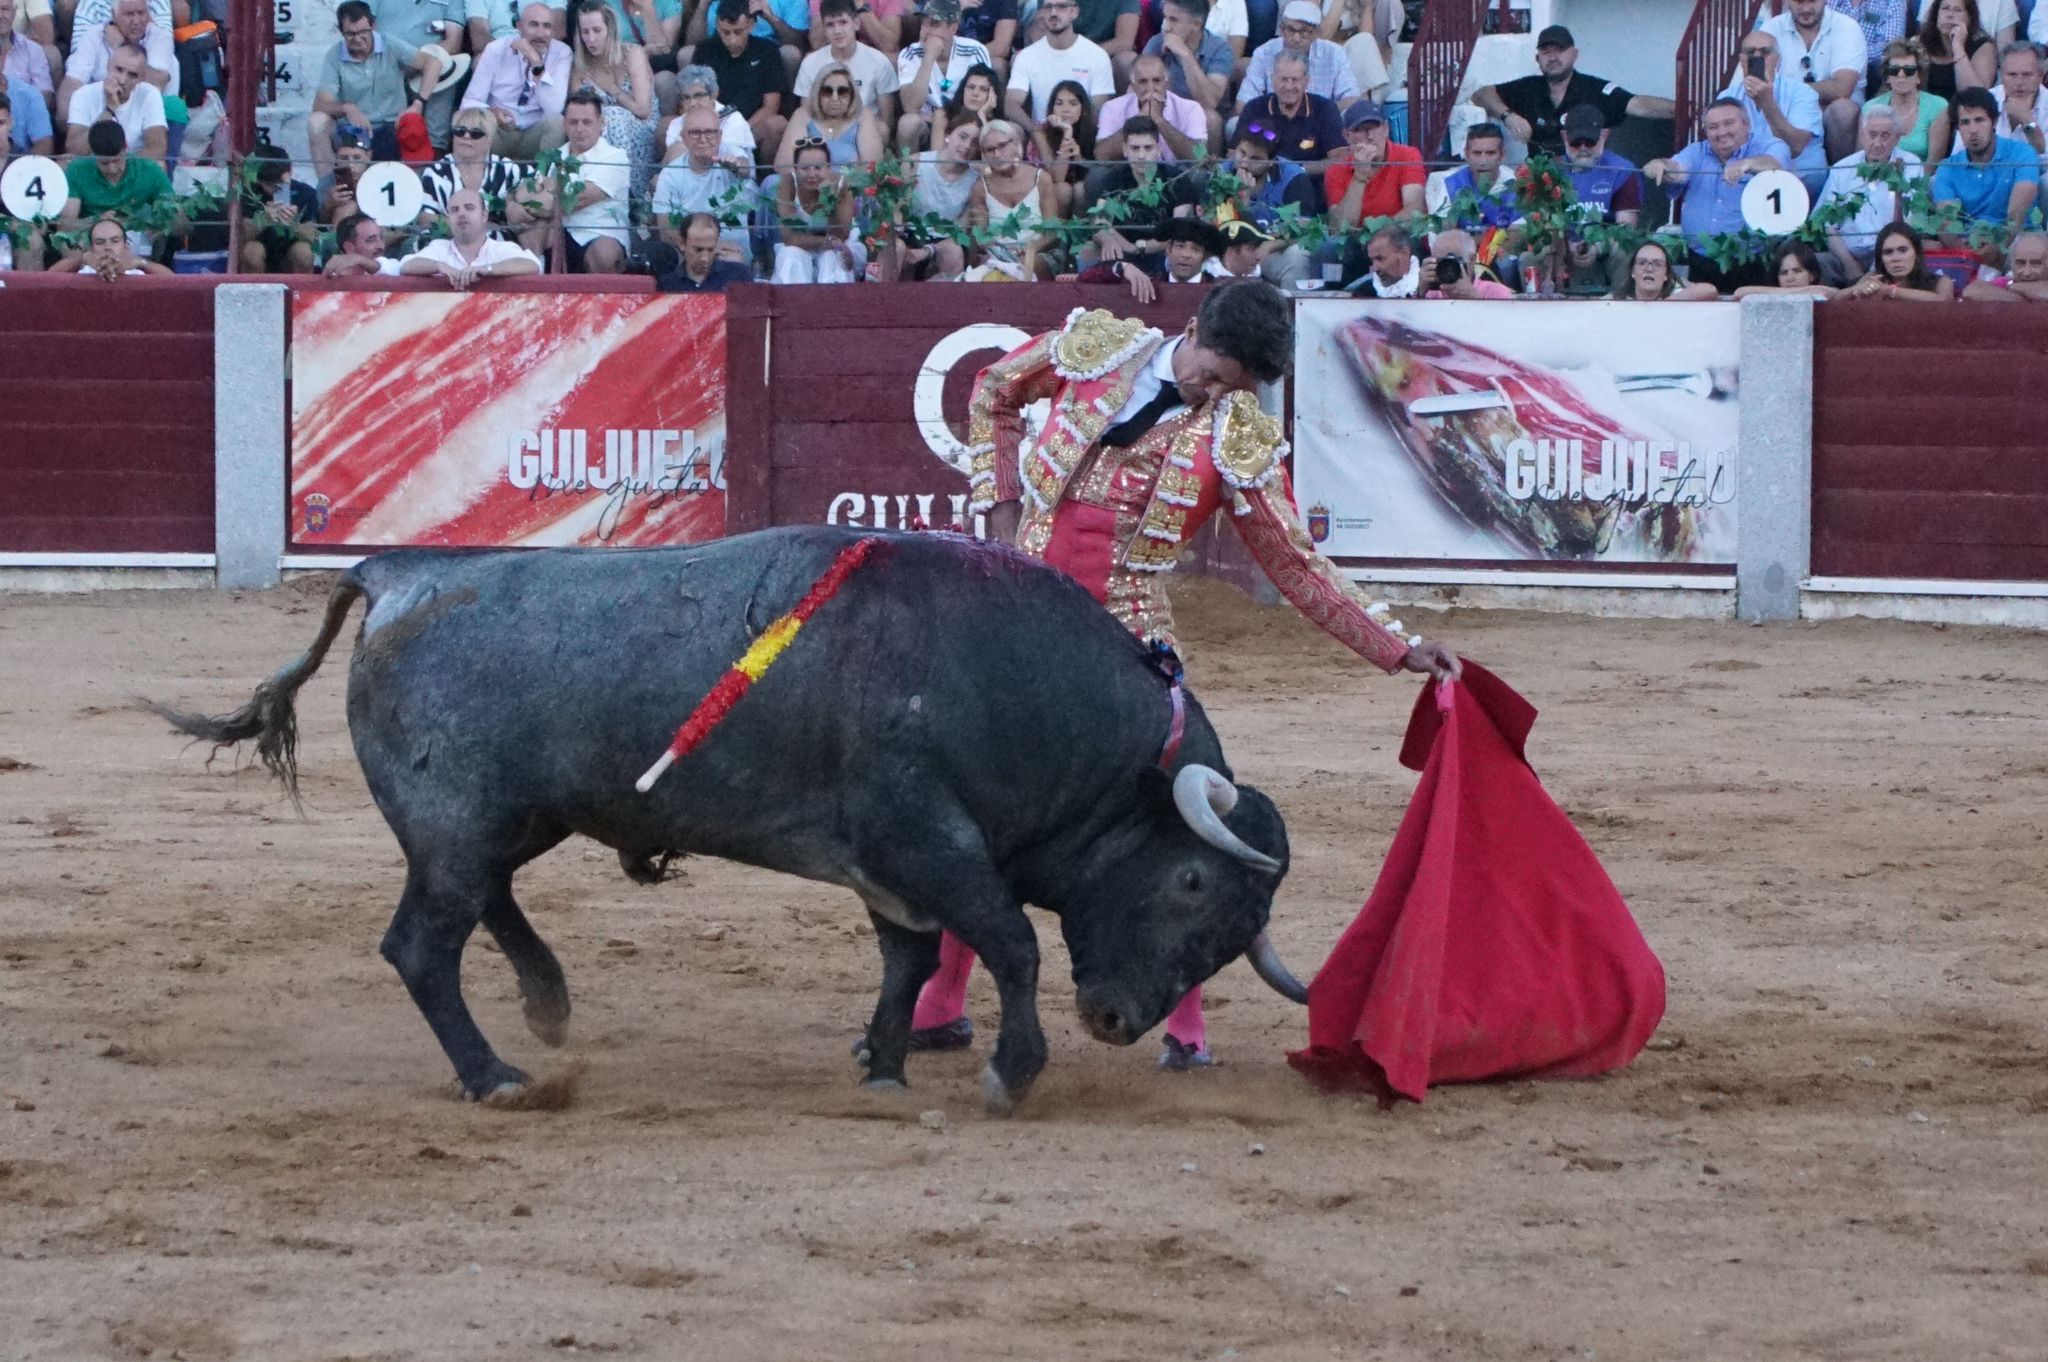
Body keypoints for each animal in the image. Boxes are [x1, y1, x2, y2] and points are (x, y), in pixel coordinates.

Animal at [155, 524, 1310, 1114]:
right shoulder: (925, 838)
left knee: (484, 899)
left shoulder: (889, 863)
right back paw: (499, 1076)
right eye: (1189, 881)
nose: (1115, 1019)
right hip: (455, 821)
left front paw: (884, 1064)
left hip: (506, 818)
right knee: (421, 945)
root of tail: (400, 571)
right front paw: (1008, 1071)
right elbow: (1011, 942)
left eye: (1228, 938)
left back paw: (546, 1002)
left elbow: (908, 956)